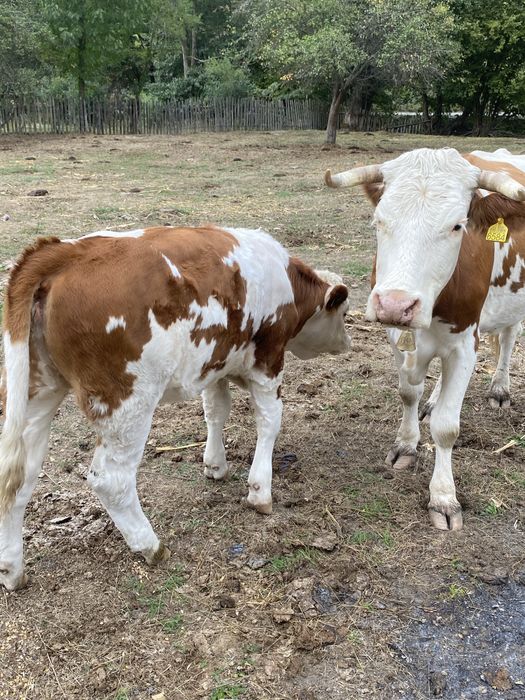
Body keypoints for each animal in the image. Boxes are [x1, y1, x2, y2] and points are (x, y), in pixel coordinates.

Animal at [0, 225, 351, 590]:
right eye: (344, 313)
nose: (347, 343)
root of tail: (65, 251)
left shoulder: (216, 363)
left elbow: (216, 410)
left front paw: (215, 464)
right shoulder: (268, 360)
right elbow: (269, 422)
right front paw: (260, 491)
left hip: (36, 391)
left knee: (16, 477)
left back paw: (12, 570)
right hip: (127, 403)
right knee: (111, 480)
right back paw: (149, 546)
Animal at [325, 147, 525, 531]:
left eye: (457, 225)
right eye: (379, 221)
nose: (395, 304)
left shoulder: (465, 345)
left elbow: (447, 427)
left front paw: (444, 497)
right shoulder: (395, 335)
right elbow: (408, 392)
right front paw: (406, 444)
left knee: (508, 338)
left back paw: (499, 389)